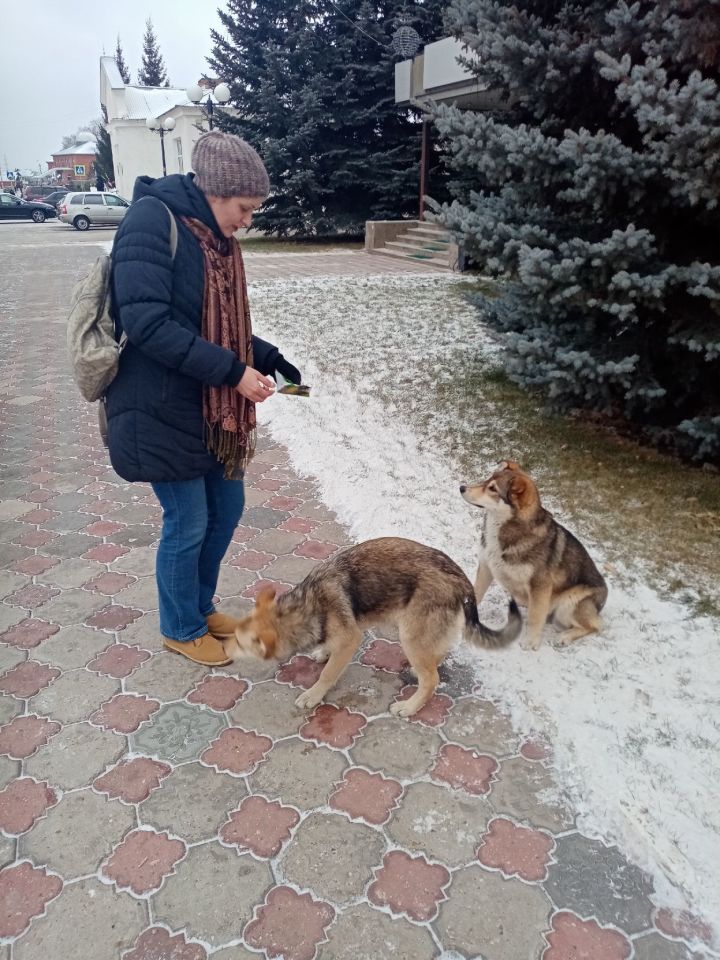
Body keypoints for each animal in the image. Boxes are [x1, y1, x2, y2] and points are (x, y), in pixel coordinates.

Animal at [228, 536, 520, 716]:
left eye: (241, 642)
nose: (223, 650)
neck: (308, 606)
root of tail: (462, 580)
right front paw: (323, 652)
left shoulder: (351, 639)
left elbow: (328, 673)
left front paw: (314, 694)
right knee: (436, 658)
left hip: (409, 635)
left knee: (432, 680)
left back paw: (410, 706)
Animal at [458, 460, 604, 652]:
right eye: (487, 480)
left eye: (492, 489)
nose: (461, 487)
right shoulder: (486, 567)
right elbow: (475, 593)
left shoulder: (540, 585)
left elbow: (535, 618)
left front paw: (531, 642)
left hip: (569, 604)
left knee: (596, 626)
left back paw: (564, 637)